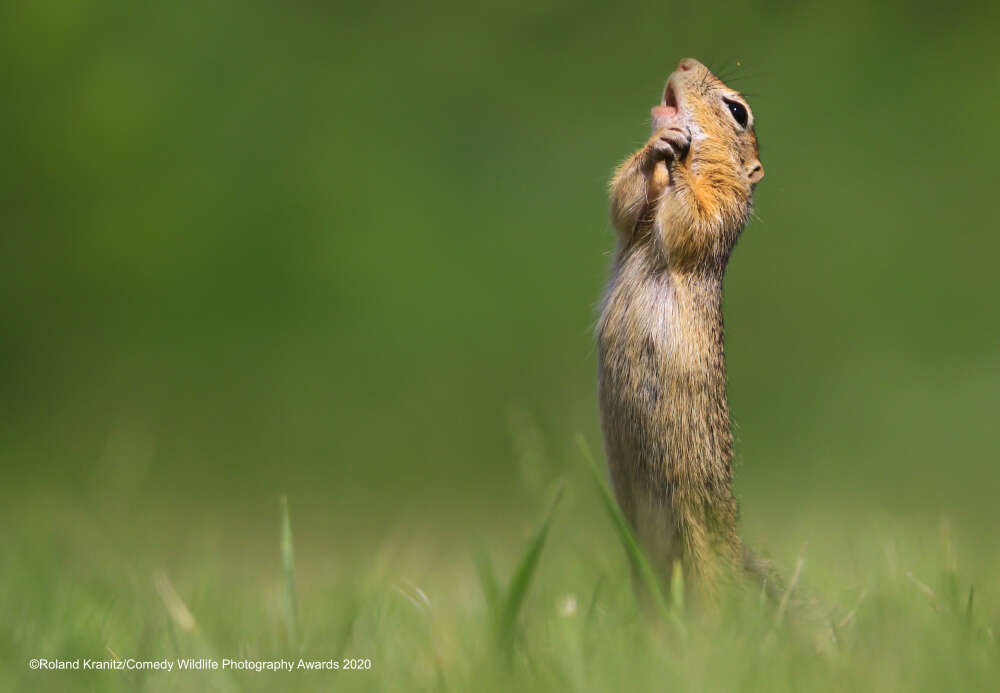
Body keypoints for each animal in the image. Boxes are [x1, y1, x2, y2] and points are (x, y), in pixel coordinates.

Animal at [596, 59, 768, 596]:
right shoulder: (632, 219)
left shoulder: (722, 206)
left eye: (738, 111)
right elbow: (625, 200)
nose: (685, 63)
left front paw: (676, 153)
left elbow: (692, 217)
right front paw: (659, 146)